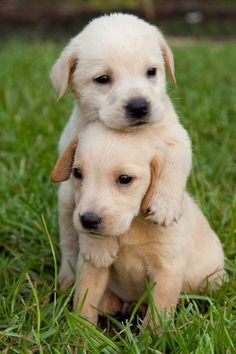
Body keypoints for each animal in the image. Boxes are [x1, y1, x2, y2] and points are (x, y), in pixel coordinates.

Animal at [51, 121, 225, 326]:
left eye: (125, 179)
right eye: (77, 173)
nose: (88, 220)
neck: (132, 226)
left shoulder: (168, 270)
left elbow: (159, 310)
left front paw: (153, 334)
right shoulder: (91, 267)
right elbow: (85, 300)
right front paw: (82, 330)